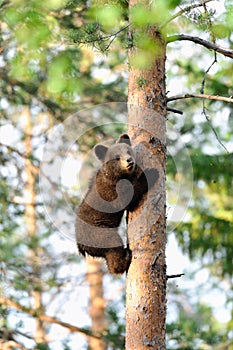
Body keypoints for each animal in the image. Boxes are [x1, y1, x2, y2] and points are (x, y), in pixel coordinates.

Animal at [76, 134, 158, 274]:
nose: (129, 161)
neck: (117, 176)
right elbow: (128, 198)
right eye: (117, 157)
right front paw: (151, 173)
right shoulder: (112, 192)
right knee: (113, 248)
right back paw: (126, 256)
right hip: (100, 232)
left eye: (128, 151)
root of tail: (81, 247)